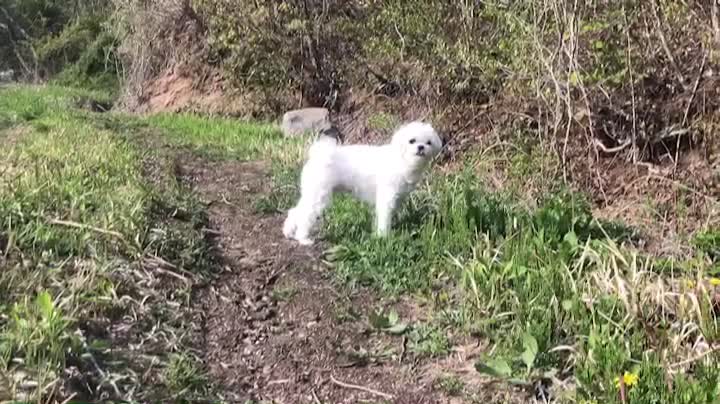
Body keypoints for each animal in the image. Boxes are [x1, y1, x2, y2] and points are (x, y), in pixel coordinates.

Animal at [280, 121, 438, 245]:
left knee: (296, 211)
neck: (402, 159)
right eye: (412, 140)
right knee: (305, 215)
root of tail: (318, 155)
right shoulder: (386, 197)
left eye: (429, 142)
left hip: (312, 192)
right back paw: (303, 239)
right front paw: (383, 237)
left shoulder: (398, 198)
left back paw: (288, 232)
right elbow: (384, 218)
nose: (421, 147)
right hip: (319, 195)